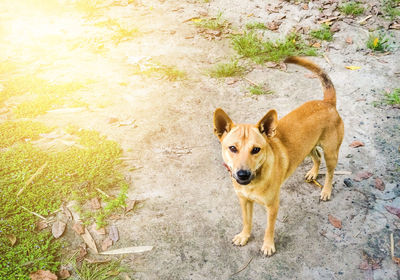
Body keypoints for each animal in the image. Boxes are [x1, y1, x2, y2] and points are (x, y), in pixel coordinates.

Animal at [212, 55, 344, 255]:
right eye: (232, 148)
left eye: (256, 149)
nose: (242, 174)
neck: (255, 181)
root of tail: (327, 103)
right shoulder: (244, 201)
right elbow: (247, 221)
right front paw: (244, 236)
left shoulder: (272, 206)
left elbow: (269, 228)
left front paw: (268, 245)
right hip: (309, 147)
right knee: (316, 157)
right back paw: (313, 173)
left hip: (331, 152)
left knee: (330, 172)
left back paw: (326, 191)